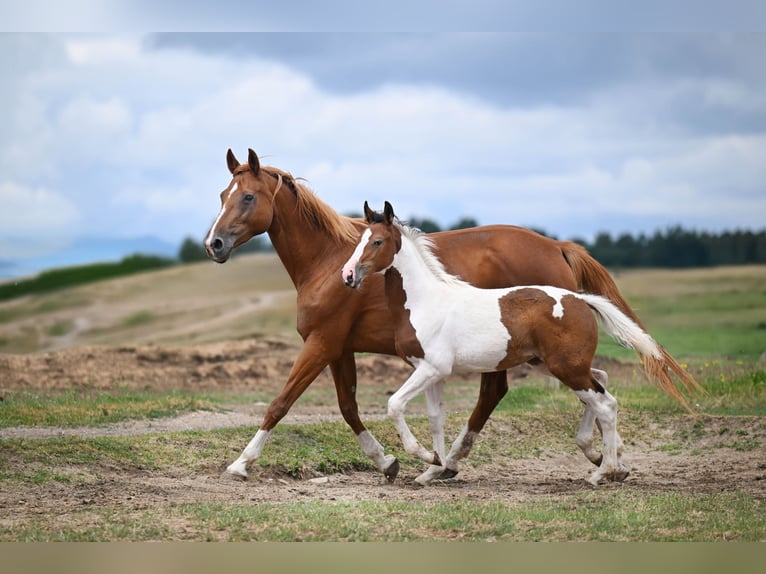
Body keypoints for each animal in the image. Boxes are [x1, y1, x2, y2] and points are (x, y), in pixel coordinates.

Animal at [342, 201, 672, 485]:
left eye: (377, 242)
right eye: (358, 241)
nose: (348, 275)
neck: (426, 301)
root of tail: (580, 299)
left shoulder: (431, 368)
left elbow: (394, 404)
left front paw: (423, 456)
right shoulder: (431, 371)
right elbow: (435, 418)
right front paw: (434, 468)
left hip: (566, 368)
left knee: (606, 404)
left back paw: (602, 472)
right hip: (554, 364)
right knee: (601, 383)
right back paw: (600, 457)